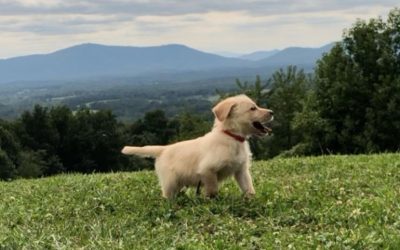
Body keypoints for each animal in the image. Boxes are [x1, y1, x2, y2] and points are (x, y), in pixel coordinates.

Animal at [120, 94, 274, 198]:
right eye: (253, 108)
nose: (272, 112)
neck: (232, 137)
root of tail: (163, 149)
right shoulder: (207, 170)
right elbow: (213, 189)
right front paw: (212, 201)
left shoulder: (241, 170)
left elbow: (249, 188)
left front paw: (252, 200)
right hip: (170, 182)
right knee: (167, 195)